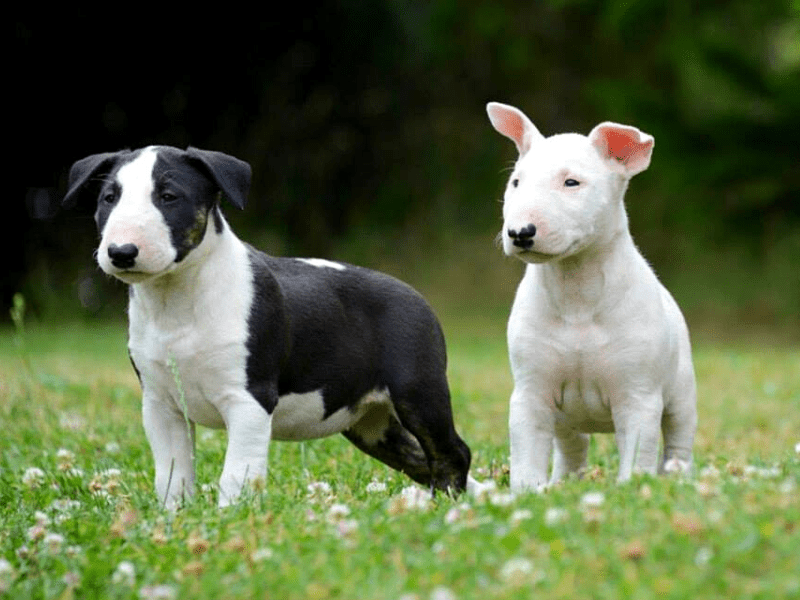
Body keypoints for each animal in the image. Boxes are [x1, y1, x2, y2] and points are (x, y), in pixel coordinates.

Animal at [65, 145, 476, 506]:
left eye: (169, 196)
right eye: (109, 198)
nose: (121, 252)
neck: (176, 300)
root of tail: (419, 297)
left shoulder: (249, 400)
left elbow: (235, 474)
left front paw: (228, 519)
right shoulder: (161, 406)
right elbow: (172, 474)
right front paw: (172, 520)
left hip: (417, 390)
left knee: (452, 451)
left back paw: (446, 505)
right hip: (371, 424)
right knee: (422, 458)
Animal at [484, 101, 696, 490]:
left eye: (572, 182)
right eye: (516, 182)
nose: (520, 232)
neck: (576, 292)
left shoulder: (638, 397)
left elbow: (638, 454)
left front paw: (631, 490)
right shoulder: (531, 393)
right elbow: (526, 454)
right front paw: (526, 493)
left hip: (681, 392)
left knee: (678, 439)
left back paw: (677, 477)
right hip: (565, 418)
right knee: (572, 446)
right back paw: (562, 483)